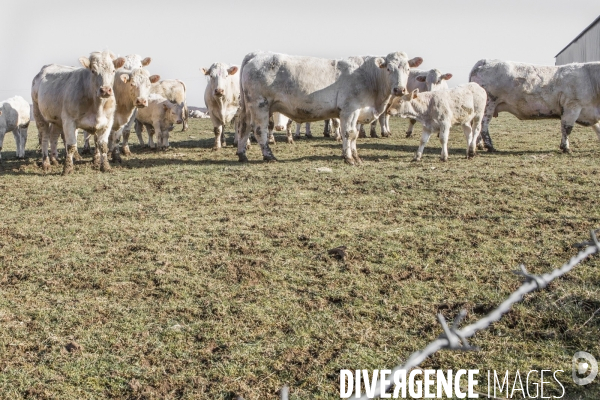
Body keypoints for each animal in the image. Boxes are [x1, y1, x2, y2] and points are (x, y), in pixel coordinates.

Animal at [234, 51, 422, 164]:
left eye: (407, 68)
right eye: (389, 68)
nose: (399, 89)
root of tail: (257, 54)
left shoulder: (357, 112)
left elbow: (354, 136)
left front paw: (355, 156)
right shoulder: (350, 110)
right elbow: (349, 133)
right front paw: (349, 158)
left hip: (248, 107)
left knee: (244, 127)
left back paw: (242, 154)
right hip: (260, 105)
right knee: (260, 130)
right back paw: (269, 156)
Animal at [472, 58, 600, 152]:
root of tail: (485, 61)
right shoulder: (572, 106)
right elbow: (567, 128)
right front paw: (566, 148)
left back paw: (480, 145)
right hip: (489, 104)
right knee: (483, 125)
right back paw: (490, 147)